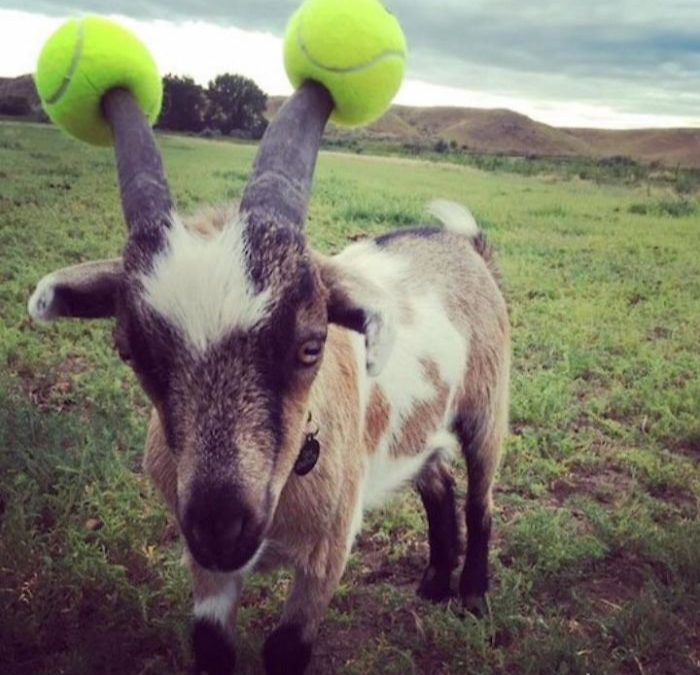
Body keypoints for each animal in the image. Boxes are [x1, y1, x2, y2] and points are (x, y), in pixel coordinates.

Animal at [28, 82, 508, 672]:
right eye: (130, 352)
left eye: (310, 345)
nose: (221, 527)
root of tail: (464, 244)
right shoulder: (204, 564)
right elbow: (210, 644)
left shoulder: (328, 551)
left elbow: (286, 648)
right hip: (417, 429)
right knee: (438, 483)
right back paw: (435, 583)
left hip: (488, 406)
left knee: (481, 500)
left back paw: (472, 595)